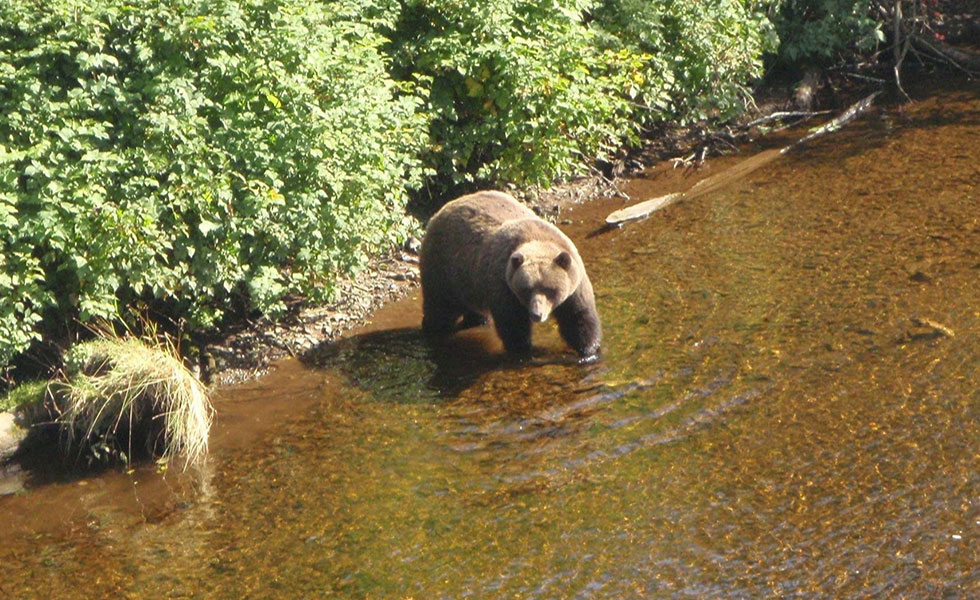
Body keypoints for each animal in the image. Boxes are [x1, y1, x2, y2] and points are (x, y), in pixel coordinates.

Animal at [419, 190, 602, 358]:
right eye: (527, 289)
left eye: (550, 289)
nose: (536, 314)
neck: (538, 239)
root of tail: (441, 210)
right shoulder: (504, 285)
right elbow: (513, 324)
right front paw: (525, 350)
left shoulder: (574, 285)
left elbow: (578, 316)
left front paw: (589, 350)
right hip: (444, 268)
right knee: (440, 307)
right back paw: (432, 328)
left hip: (469, 281)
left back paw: (477, 320)